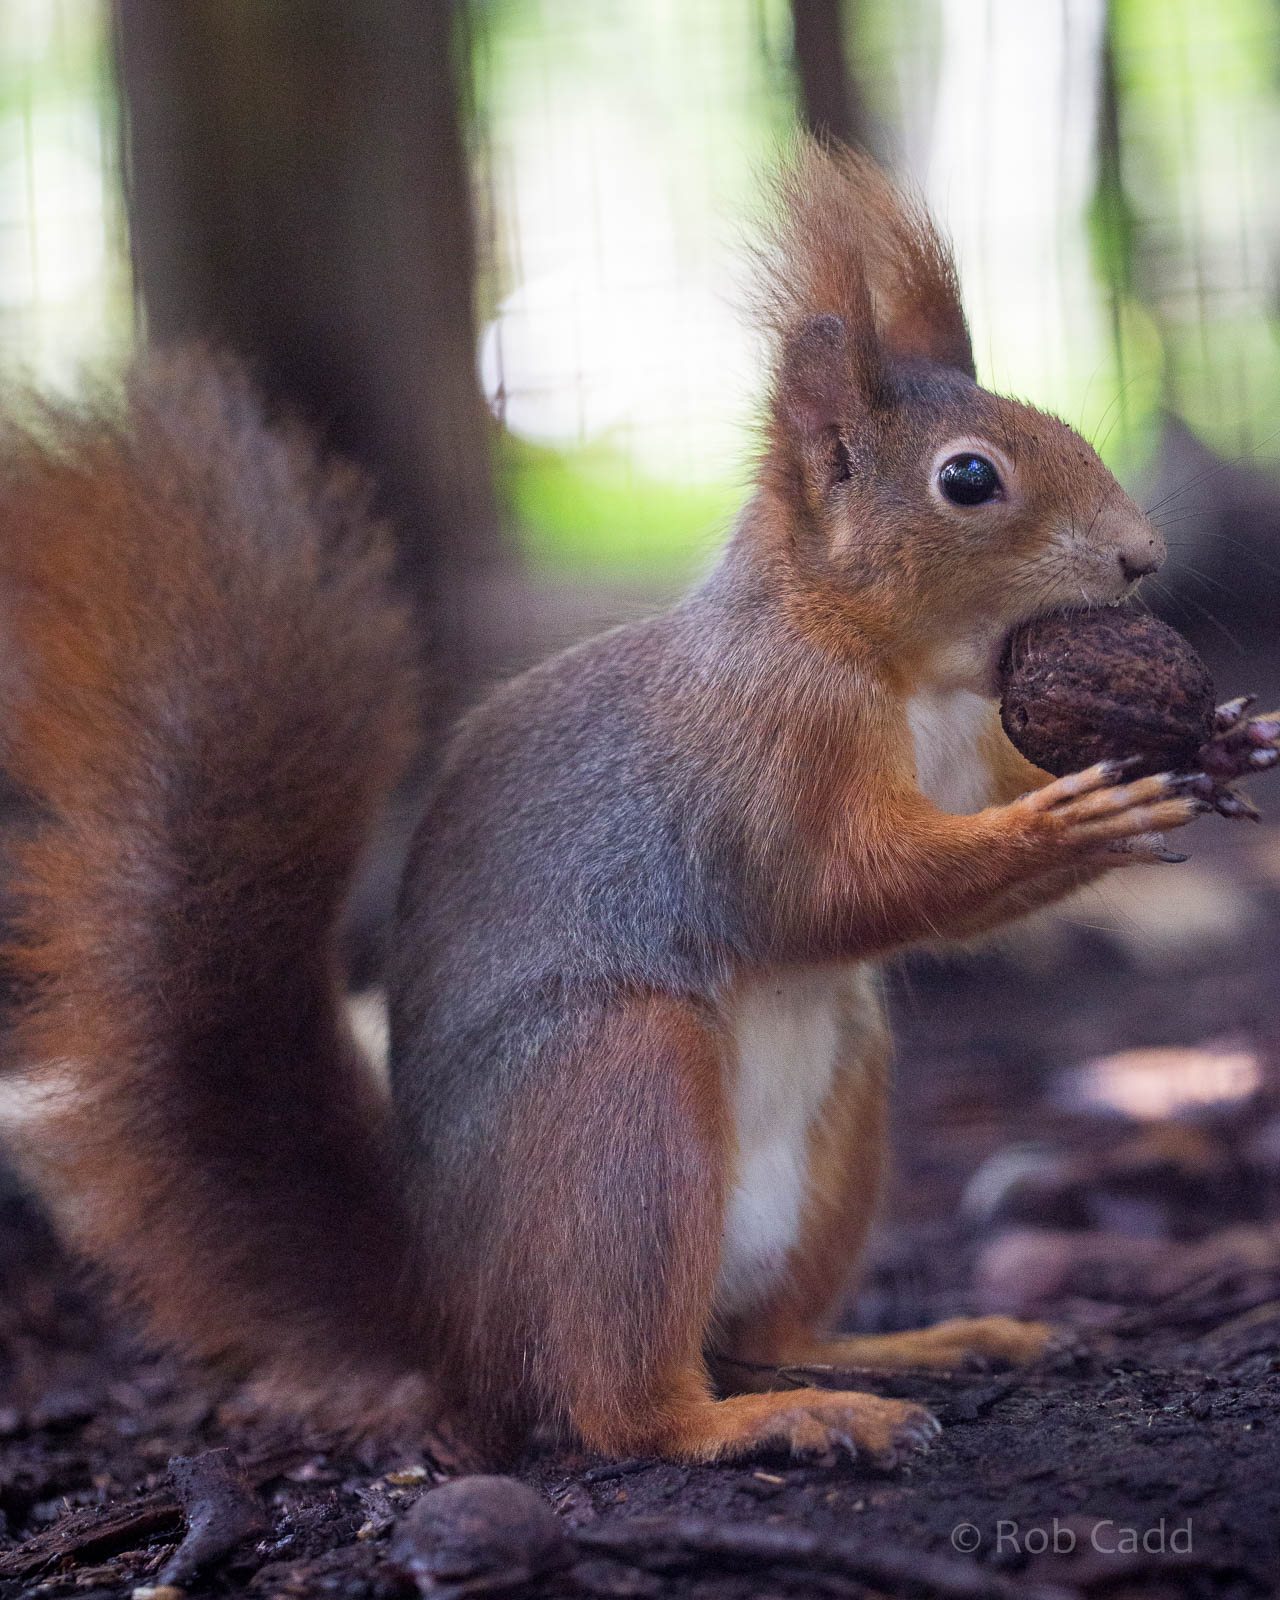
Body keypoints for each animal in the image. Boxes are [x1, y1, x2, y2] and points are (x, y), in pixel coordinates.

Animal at [0, 144, 1220, 1467]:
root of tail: (452, 1314)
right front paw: (1072, 819)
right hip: (621, 1090)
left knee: (770, 1325)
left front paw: (1202, 754)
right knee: (615, 1401)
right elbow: (844, 887)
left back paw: (910, 1345)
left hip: (841, 1082)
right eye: (967, 479)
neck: (903, 672)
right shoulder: (769, 753)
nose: (1142, 555)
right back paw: (767, 1418)